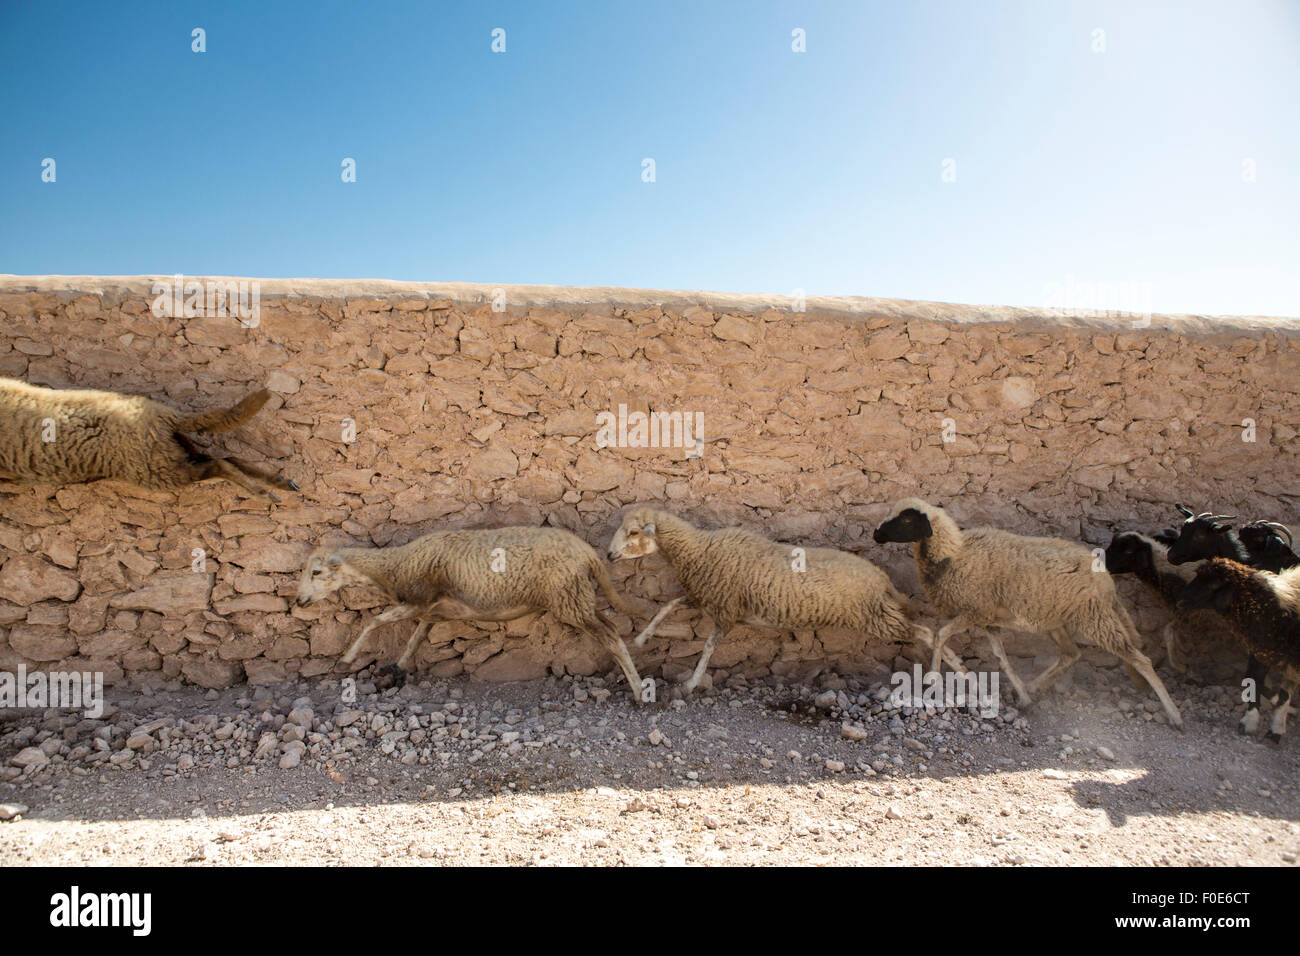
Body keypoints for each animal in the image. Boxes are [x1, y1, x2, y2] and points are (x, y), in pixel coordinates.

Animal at [0, 377, 296, 504]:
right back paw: (279, 482)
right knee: (227, 458)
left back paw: (263, 493)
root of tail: (166, 416)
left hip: (156, 469)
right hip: (172, 452)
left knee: (218, 465)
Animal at [295, 522, 650, 702]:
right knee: (612, 630)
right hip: (577, 599)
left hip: (570, 599)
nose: (299, 601)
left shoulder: (419, 601)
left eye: (316, 572)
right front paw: (397, 668)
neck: (395, 567)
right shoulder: (435, 610)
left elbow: (373, 621)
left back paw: (639, 692)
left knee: (612, 638)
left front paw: (347, 658)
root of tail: (587, 553)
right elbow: (416, 636)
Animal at [603, 509, 961, 697]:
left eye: (633, 532)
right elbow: (668, 607)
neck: (699, 550)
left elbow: (707, 648)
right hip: (879, 614)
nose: (608, 555)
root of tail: (880, 577)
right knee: (925, 632)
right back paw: (960, 670)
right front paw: (642, 637)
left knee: (925, 633)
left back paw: (946, 671)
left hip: (876, 616)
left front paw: (691, 682)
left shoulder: (725, 611)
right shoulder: (706, 599)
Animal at [878, 496, 1185, 728]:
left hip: (1093, 617)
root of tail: (1107, 582)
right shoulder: (988, 621)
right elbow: (1001, 657)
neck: (953, 555)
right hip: (1058, 620)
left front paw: (932, 679)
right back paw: (1036, 687)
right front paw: (1021, 694)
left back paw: (1174, 715)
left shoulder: (974, 612)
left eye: (907, 520)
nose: (876, 534)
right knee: (1071, 654)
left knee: (1139, 659)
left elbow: (941, 635)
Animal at [1180, 556, 1300, 743]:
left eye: (1213, 585)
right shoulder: (1262, 652)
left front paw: (1275, 727)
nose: (1181, 598)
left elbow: (1282, 692)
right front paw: (1251, 722)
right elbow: (1256, 680)